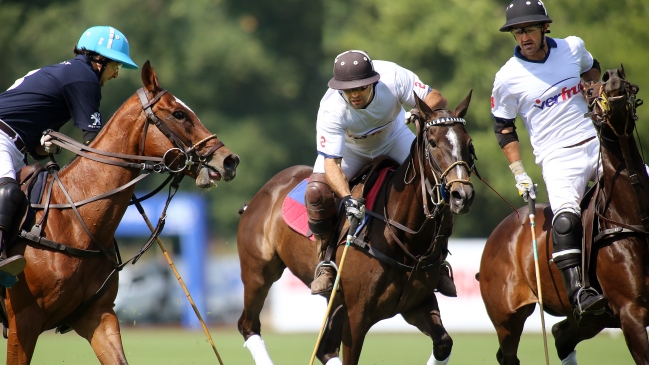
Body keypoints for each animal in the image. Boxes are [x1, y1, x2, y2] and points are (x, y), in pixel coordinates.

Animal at [238, 90, 476, 362]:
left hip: (336, 301)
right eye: (433, 143)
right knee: (248, 324)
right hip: (258, 272)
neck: (404, 238)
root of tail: (261, 194)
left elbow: (444, 343)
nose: (462, 195)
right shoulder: (358, 315)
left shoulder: (418, 303)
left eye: (469, 144)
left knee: (325, 347)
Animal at [476, 67, 648, 362]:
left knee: (560, 336)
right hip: (507, 317)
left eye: (627, 81)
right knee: (509, 353)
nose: (612, 77)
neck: (634, 215)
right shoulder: (631, 311)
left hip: (592, 319)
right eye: (588, 92)